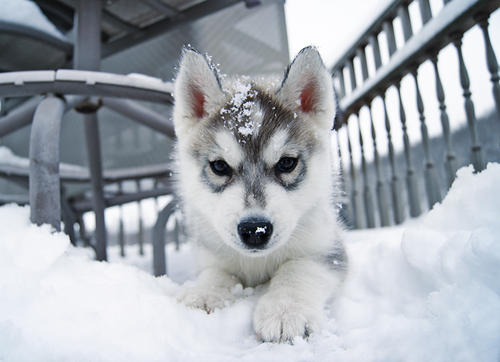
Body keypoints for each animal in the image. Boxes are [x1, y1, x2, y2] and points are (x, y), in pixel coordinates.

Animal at [174, 46, 346, 342]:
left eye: (286, 163)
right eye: (220, 166)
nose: (255, 230)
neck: (257, 263)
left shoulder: (329, 249)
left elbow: (299, 267)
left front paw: (286, 310)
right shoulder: (212, 255)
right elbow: (216, 273)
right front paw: (204, 294)